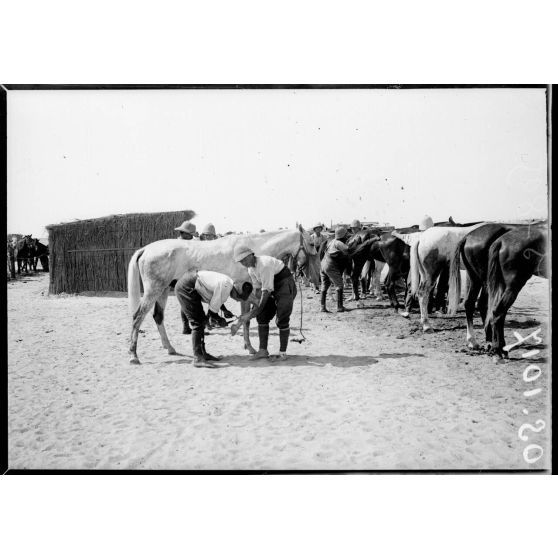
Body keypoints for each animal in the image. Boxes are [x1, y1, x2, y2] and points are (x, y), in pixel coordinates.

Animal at [127, 226, 320, 364]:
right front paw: (250, 347)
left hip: (163, 291)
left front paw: (247, 344)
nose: (316, 277)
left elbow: (249, 316)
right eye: (312, 244)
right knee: (137, 318)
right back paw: (133, 355)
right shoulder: (245, 290)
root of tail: (145, 249)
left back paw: (170, 348)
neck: (253, 250)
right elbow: (247, 318)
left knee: (158, 317)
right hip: (154, 290)